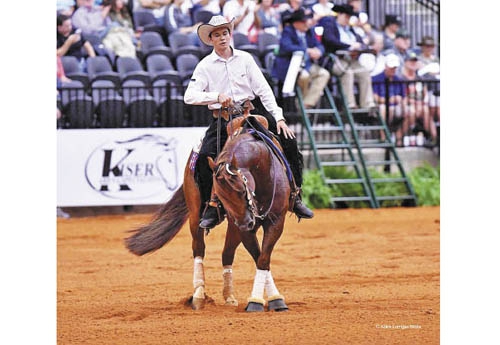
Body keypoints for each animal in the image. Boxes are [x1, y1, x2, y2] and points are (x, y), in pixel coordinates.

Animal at [123, 110, 292, 312]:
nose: (247, 223)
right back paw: (198, 296)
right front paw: (258, 301)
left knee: (227, 254)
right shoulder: (244, 228)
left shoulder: (277, 222)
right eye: (219, 195)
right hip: (197, 216)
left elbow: (263, 258)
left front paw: (274, 299)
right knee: (199, 249)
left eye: (241, 190)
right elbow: (260, 257)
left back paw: (229, 296)